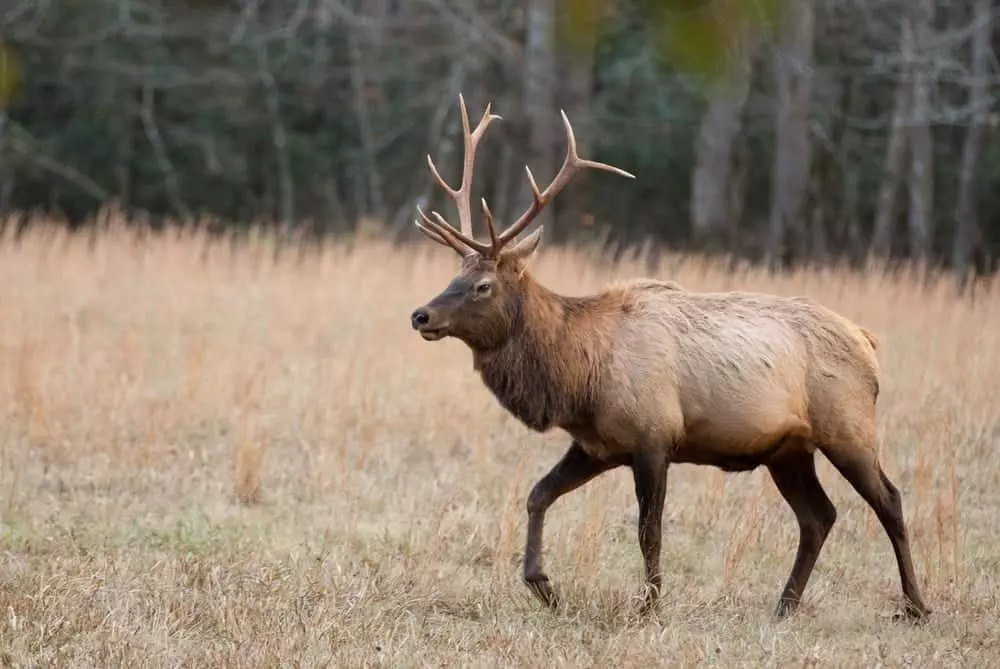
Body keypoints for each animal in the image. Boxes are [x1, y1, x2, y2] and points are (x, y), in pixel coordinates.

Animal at [408, 94, 931, 622]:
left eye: (482, 285)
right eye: (456, 273)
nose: (421, 315)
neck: (580, 377)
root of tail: (867, 341)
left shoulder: (654, 436)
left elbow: (649, 531)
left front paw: (649, 605)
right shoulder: (597, 446)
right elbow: (537, 495)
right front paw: (544, 585)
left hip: (847, 426)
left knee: (889, 500)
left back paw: (915, 605)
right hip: (789, 450)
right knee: (819, 516)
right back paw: (785, 605)